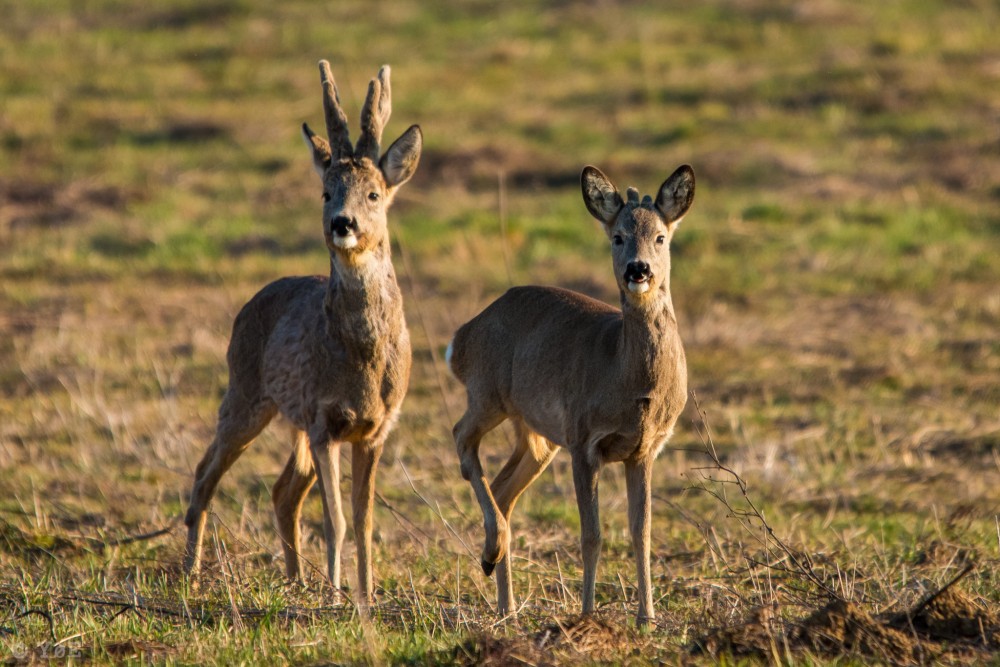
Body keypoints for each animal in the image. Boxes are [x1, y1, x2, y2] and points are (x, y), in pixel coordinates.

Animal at [185, 62, 422, 604]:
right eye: (325, 192)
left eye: (374, 193)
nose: (342, 223)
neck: (361, 360)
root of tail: (250, 304)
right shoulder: (322, 419)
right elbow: (337, 520)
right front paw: (337, 597)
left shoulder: (376, 429)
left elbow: (364, 521)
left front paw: (366, 596)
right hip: (245, 392)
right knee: (205, 474)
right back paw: (189, 575)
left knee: (283, 491)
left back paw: (293, 581)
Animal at [448, 164, 696, 624]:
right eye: (617, 236)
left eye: (660, 237)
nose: (638, 270)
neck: (626, 379)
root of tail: (462, 338)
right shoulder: (584, 440)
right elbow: (592, 534)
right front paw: (587, 614)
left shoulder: (646, 449)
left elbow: (642, 531)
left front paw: (647, 618)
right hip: (488, 392)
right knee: (461, 437)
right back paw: (493, 556)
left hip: (537, 433)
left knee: (505, 488)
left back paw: (505, 597)